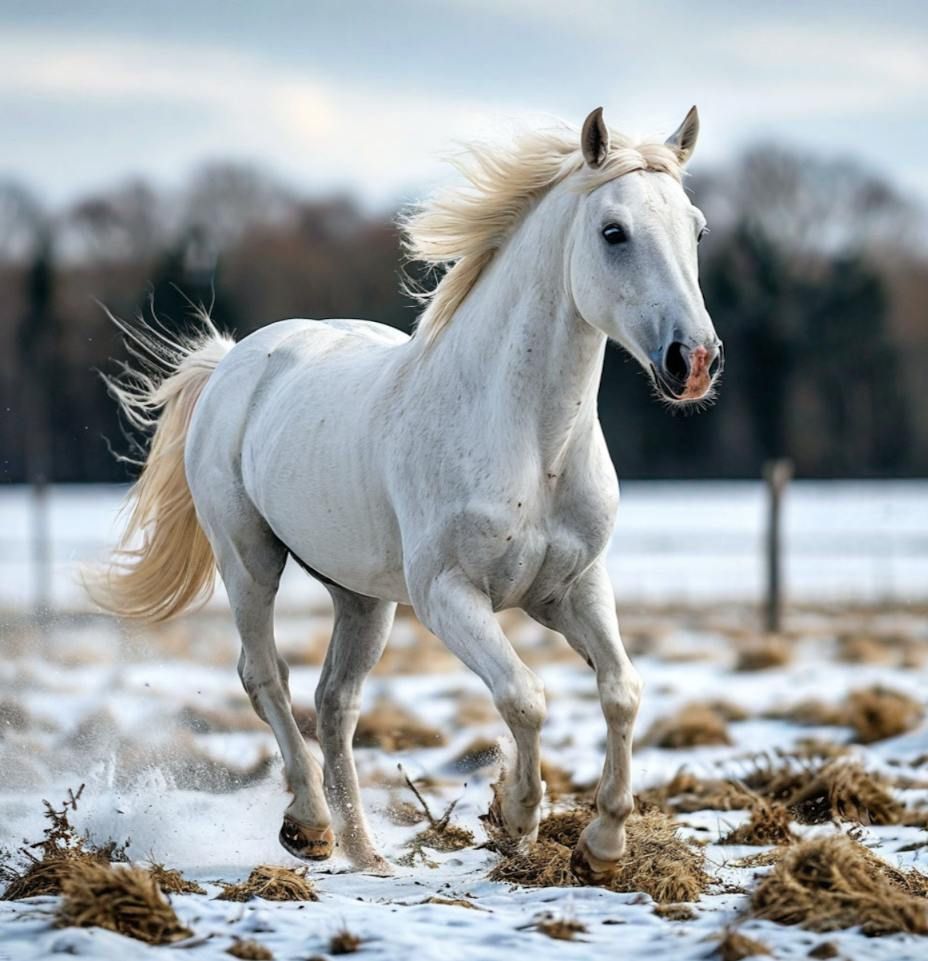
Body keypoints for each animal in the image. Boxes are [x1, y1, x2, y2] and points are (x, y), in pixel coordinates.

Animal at [90, 109, 720, 880]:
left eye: (696, 230)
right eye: (613, 232)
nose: (694, 362)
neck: (529, 443)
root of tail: (234, 360)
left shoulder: (572, 587)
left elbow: (622, 692)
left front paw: (601, 847)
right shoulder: (448, 593)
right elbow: (524, 695)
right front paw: (516, 817)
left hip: (364, 599)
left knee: (336, 701)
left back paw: (366, 855)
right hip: (249, 560)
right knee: (265, 675)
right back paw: (309, 826)